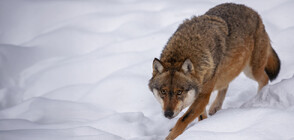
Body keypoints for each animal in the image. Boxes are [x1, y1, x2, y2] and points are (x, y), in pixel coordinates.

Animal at [148, 2, 280, 139]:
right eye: (163, 91)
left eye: (179, 92)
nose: (168, 114)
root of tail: (254, 12)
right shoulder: (200, 94)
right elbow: (201, 116)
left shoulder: (203, 95)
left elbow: (182, 120)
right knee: (226, 85)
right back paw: (216, 107)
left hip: (251, 71)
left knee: (264, 79)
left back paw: (259, 98)